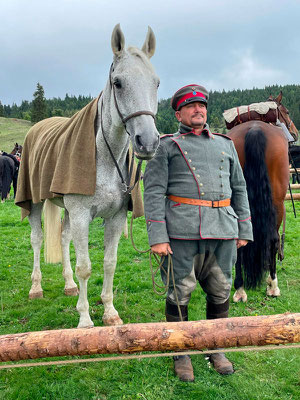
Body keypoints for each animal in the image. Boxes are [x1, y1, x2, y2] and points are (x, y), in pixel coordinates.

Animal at [24, 23, 159, 326]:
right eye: (118, 83)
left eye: (156, 83)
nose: (147, 142)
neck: (105, 160)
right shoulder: (81, 215)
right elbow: (85, 266)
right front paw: (85, 320)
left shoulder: (115, 217)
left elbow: (109, 263)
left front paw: (110, 312)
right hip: (35, 201)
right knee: (37, 239)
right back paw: (36, 288)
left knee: (63, 237)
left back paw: (68, 285)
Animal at [226, 92, 298, 302]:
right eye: (286, 112)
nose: (295, 133)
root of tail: (254, 130)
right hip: (277, 203)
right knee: (273, 239)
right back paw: (272, 285)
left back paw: (240, 289)